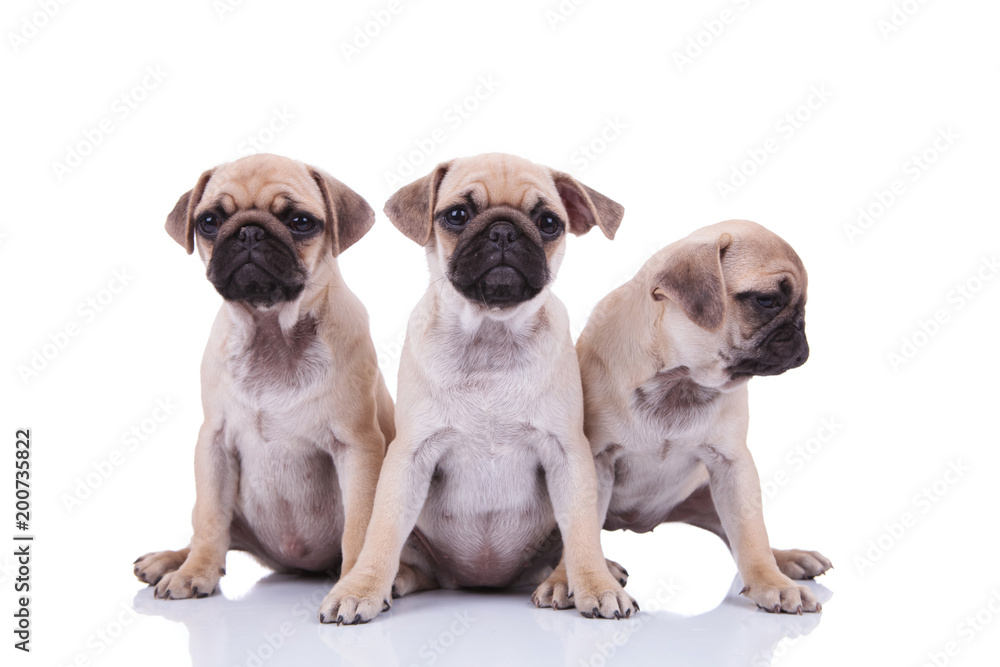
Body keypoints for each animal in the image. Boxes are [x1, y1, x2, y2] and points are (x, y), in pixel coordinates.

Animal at [132, 154, 394, 604]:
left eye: (300, 221)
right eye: (210, 221)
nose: (249, 231)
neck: (272, 330)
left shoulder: (358, 447)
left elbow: (360, 527)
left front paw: (353, 585)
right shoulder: (214, 444)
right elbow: (210, 520)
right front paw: (195, 572)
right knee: (211, 528)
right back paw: (171, 560)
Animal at [316, 154, 636, 624]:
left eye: (548, 223)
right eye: (457, 215)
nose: (503, 230)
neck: (490, 335)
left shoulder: (568, 453)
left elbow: (581, 530)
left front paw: (596, 585)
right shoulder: (409, 457)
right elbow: (382, 530)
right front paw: (360, 588)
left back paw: (569, 581)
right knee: (414, 566)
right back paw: (396, 580)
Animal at [536, 220, 832, 616]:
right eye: (767, 301)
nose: (800, 328)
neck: (679, 381)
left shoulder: (733, 464)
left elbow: (752, 534)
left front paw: (772, 584)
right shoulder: (595, 463)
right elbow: (578, 531)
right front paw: (566, 580)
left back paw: (786, 560)